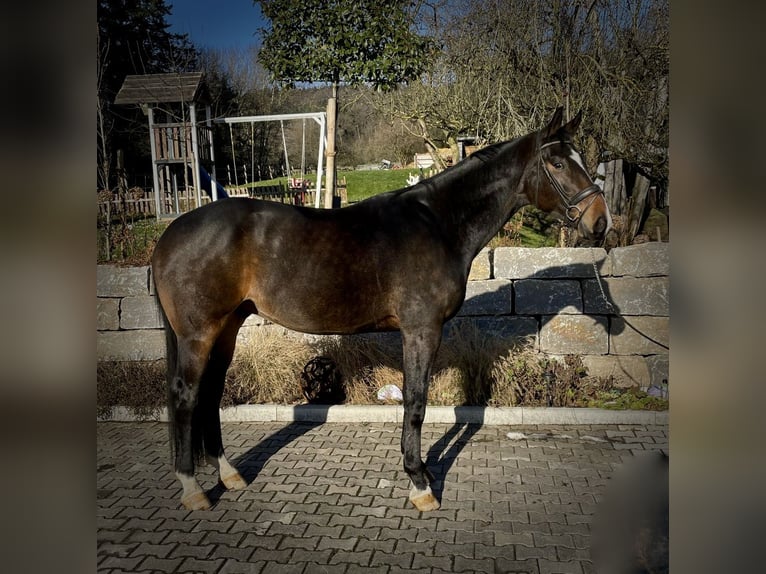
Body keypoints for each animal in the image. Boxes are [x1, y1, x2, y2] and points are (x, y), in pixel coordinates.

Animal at [153, 107, 616, 512]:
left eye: (581, 159)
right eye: (557, 162)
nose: (601, 221)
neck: (439, 224)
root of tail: (169, 235)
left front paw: (424, 473)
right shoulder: (421, 330)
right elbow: (415, 403)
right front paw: (420, 484)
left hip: (228, 327)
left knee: (211, 392)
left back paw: (229, 474)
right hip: (199, 333)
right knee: (185, 395)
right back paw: (193, 489)